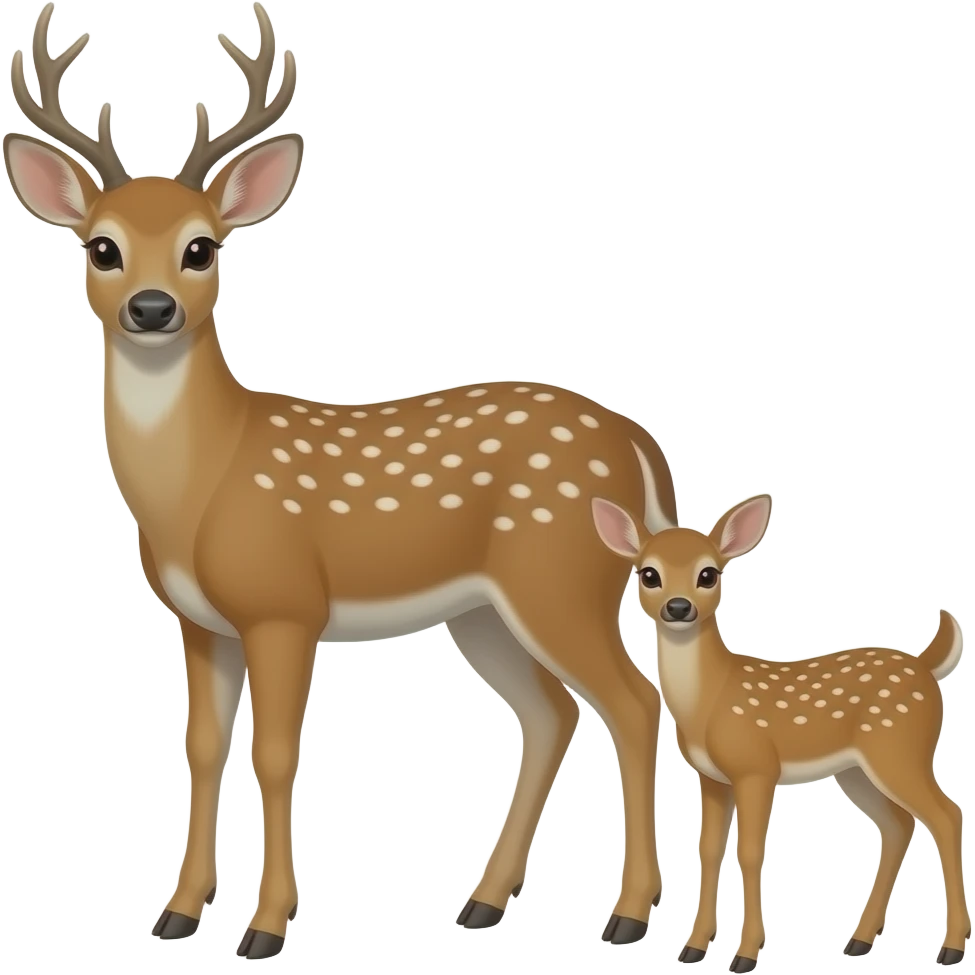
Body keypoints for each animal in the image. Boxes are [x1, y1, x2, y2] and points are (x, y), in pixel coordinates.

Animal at [3, 3, 683, 957]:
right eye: (102, 247)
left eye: (201, 248)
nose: (151, 307)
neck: (202, 484)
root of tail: (639, 444)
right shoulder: (198, 621)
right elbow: (201, 747)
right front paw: (177, 912)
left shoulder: (285, 604)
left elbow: (276, 754)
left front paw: (265, 926)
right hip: (484, 611)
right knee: (551, 711)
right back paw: (482, 902)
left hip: (560, 577)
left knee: (633, 701)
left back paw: (625, 914)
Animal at [592, 491, 970, 971]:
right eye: (649, 573)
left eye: (708, 573)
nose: (678, 607)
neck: (710, 700)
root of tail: (925, 666)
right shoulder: (712, 777)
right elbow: (709, 850)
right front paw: (693, 948)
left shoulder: (757, 767)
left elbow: (752, 853)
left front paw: (746, 954)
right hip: (856, 771)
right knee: (898, 825)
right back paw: (859, 941)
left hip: (900, 750)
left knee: (947, 815)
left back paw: (951, 947)